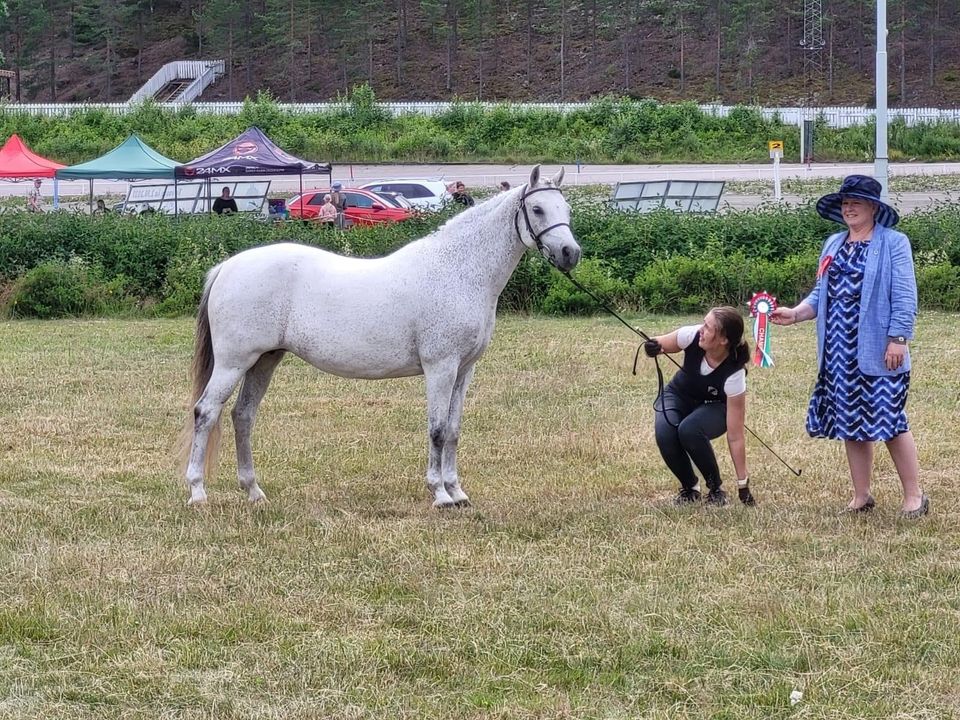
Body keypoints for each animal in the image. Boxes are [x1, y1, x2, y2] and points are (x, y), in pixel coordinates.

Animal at [179, 167, 580, 510]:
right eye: (537, 208)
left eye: (566, 208)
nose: (570, 254)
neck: (457, 271)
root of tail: (226, 267)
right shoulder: (441, 367)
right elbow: (436, 430)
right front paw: (440, 495)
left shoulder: (464, 370)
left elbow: (453, 430)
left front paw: (457, 491)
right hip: (234, 363)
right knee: (206, 412)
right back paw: (197, 492)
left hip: (265, 360)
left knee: (242, 416)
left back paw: (254, 491)